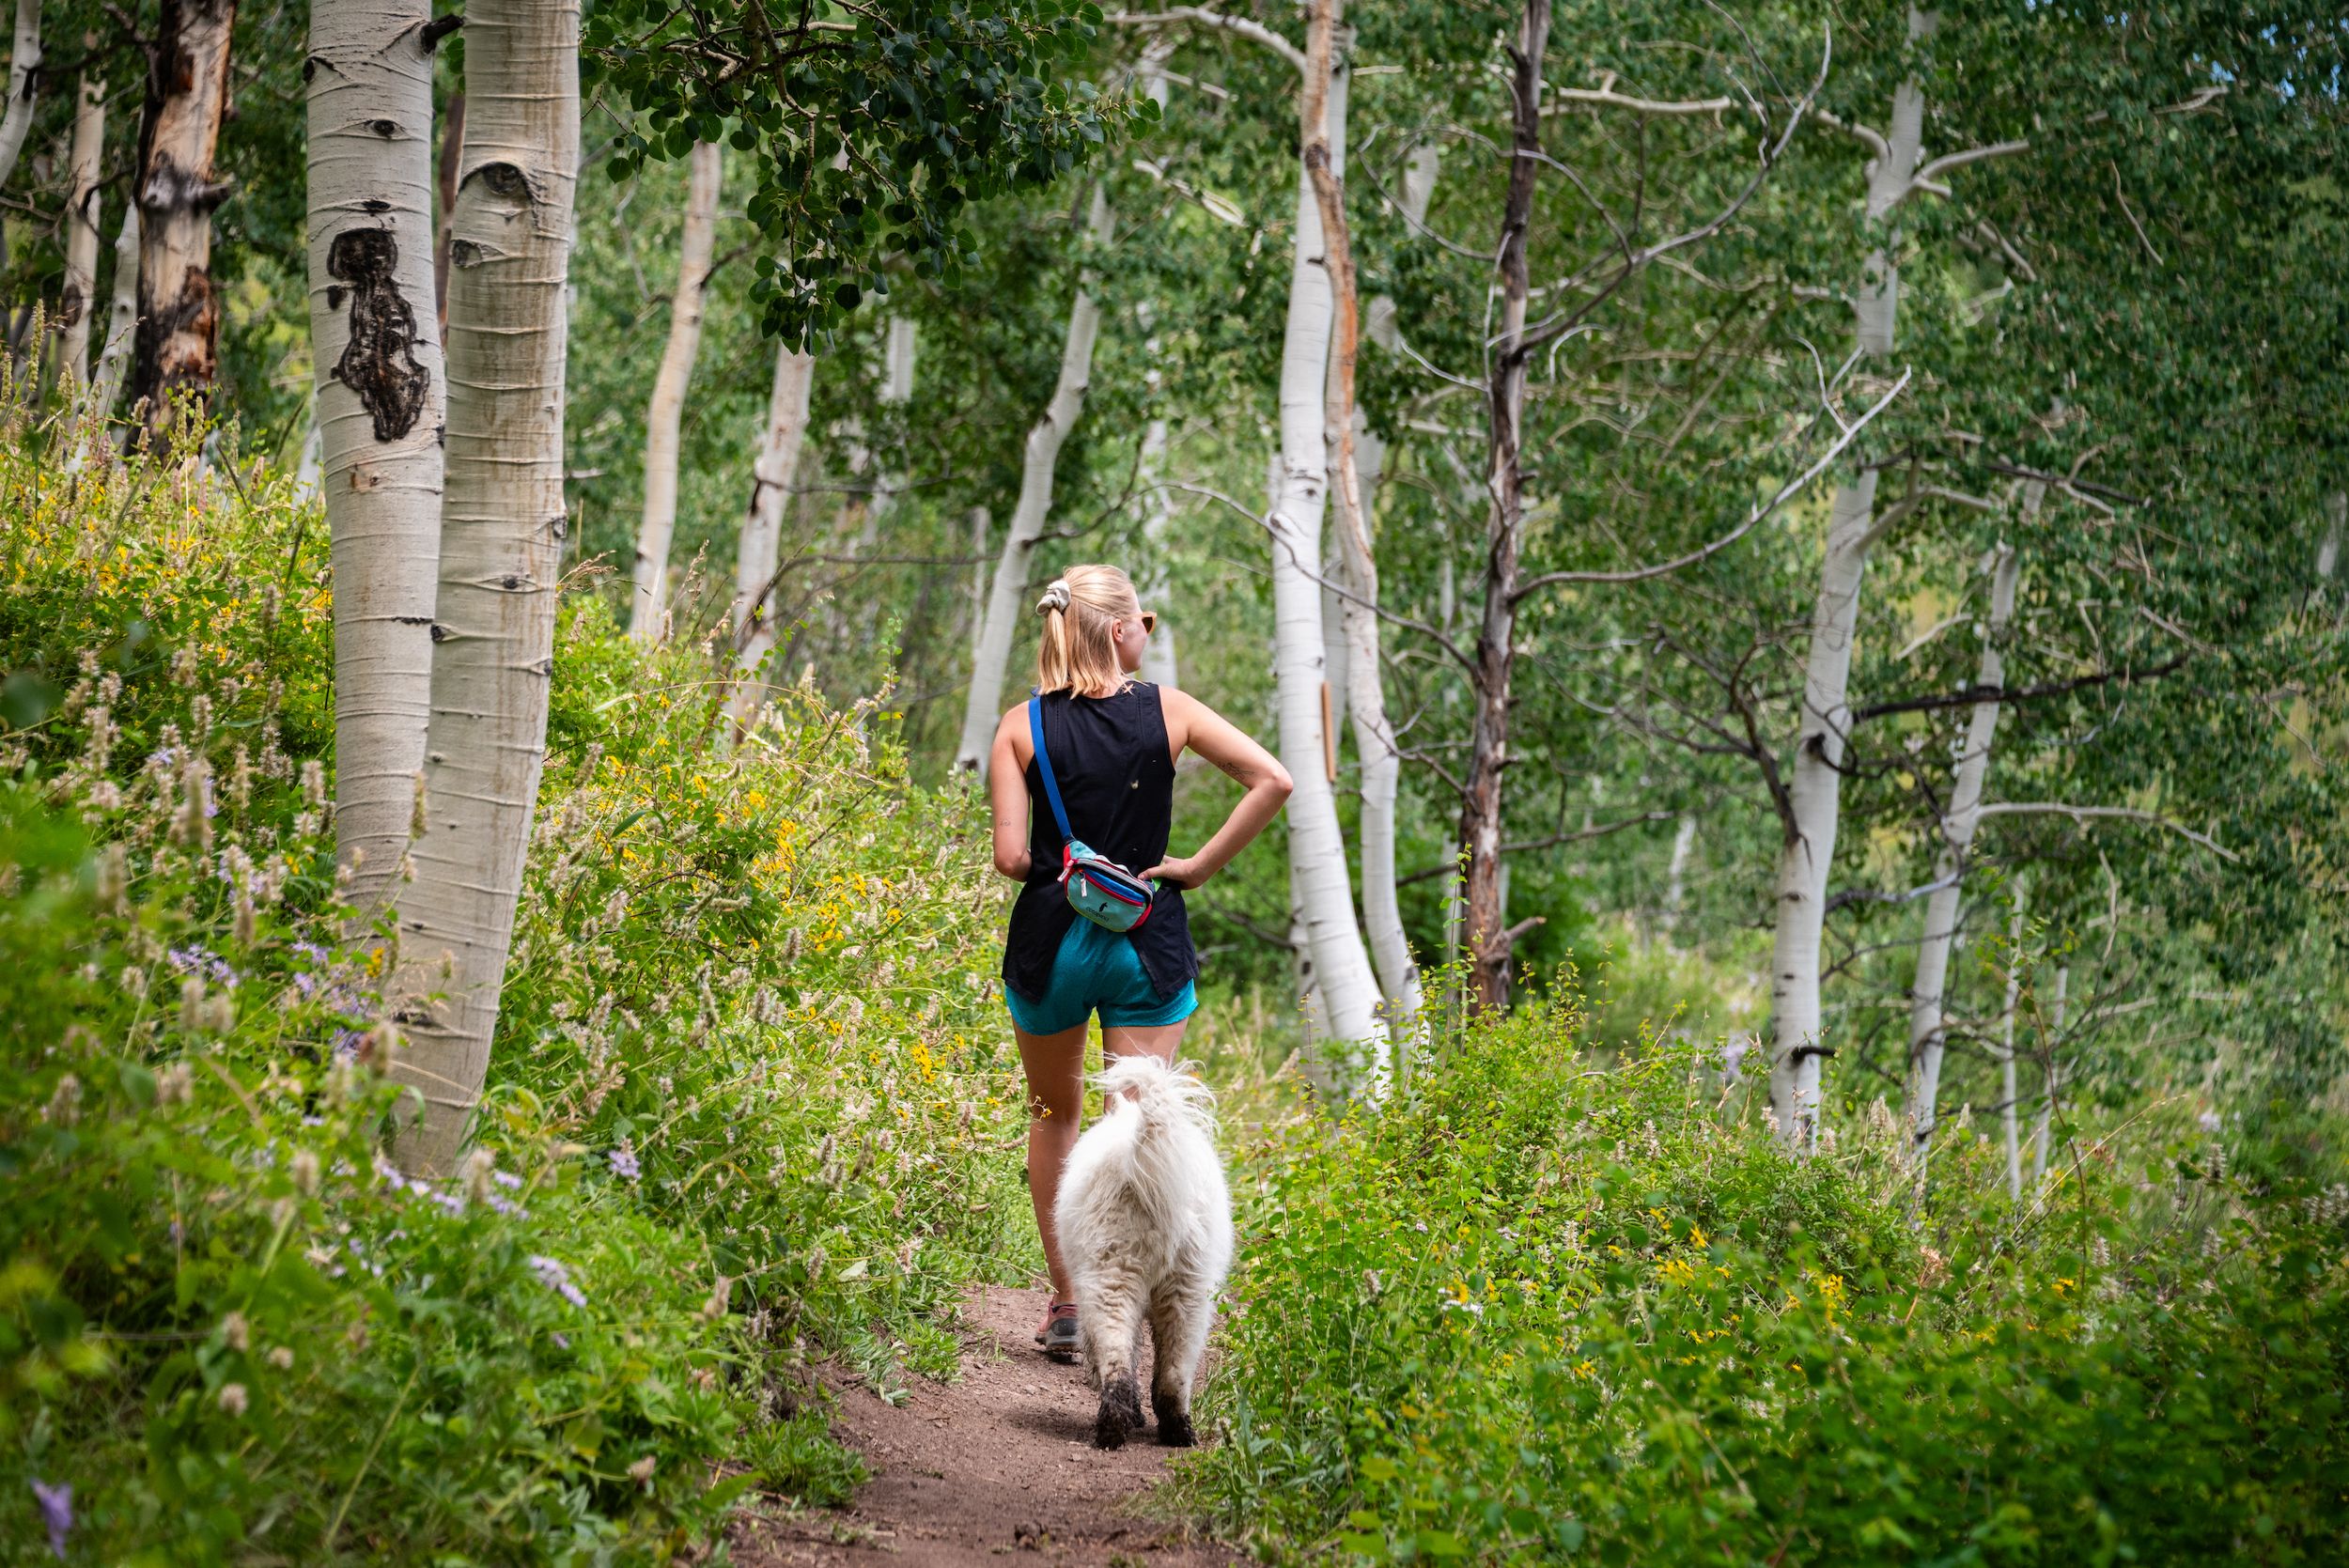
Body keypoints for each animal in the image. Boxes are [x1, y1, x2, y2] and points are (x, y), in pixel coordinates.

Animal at [1057, 1047, 1240, 1455]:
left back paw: (1111, 1431)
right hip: (1189, 1295)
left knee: (1117, 1369)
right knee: (1173, 1377)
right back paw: (1179, 1434)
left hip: (1110, 1280)